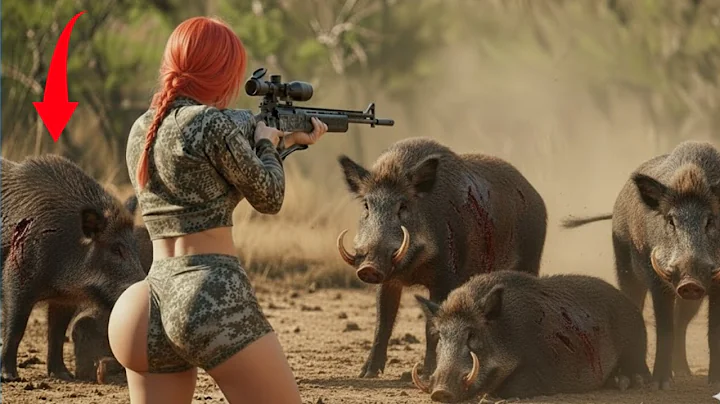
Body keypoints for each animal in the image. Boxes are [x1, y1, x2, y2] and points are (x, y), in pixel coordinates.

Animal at [1, 154, 147, 382]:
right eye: (116, 249)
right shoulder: (16, 276)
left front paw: (63, 375)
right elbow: (16, 327)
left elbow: (57, 333)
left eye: (134, 246)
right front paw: (10, 377)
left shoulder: (65, 298)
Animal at [336, 137, 548, 378]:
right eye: (366, 205)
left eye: (403, 206)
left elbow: (431, 328)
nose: (369, 267)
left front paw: (426, 375)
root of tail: (536, 196)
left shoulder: (445, 277)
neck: (412, 269)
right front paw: (366, 374)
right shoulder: (389, 280)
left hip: (531, 258)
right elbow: (383, 323)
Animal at [412, 271, 652, 402]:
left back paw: (625, 382)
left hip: (635, 345)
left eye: (472, 335)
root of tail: (631, 305)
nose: (440, 392)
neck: (507, 334)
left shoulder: (540, 369)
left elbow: (508, 388)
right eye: (440, 336)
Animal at [560, 140, 720, 389]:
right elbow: (664, 327)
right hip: (624, 264)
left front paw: (714, 384)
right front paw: (661, 385)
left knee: (681, 321)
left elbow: (713, 331)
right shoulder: (657, 280)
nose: (690, 281)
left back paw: (683, 373)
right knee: (636, 308)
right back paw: (638, 379)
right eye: (670, 220)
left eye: (710, 220)